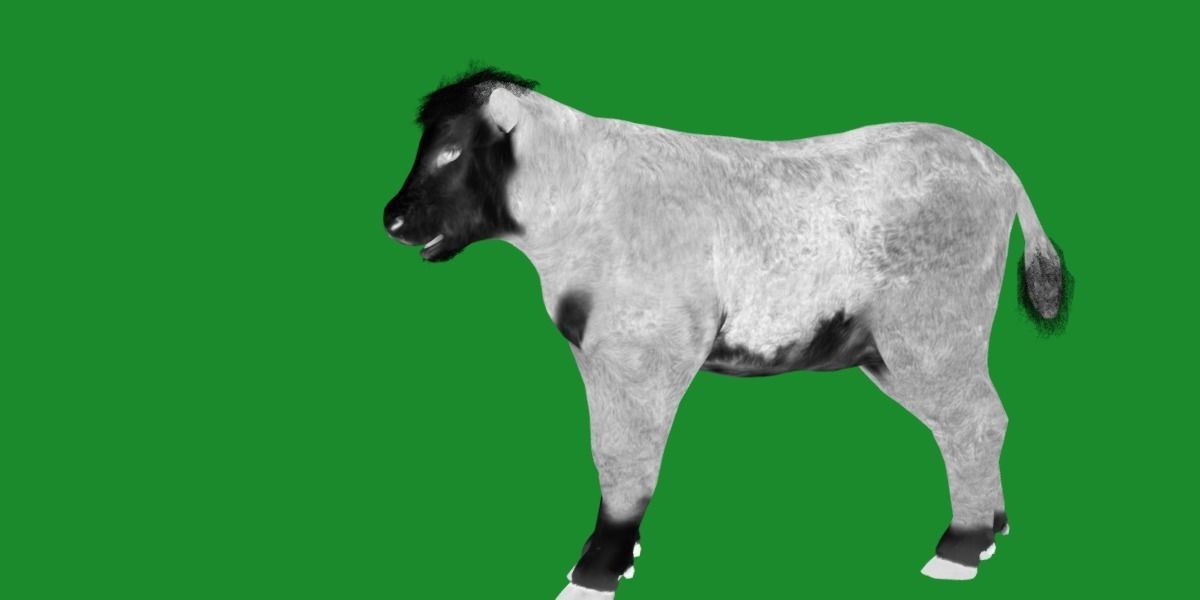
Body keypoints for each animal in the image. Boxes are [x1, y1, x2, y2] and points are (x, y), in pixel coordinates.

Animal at [382, 67, 1072, 598]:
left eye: (451, 151)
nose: (392, 219)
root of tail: (996, 163)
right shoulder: (598, 355)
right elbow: (606, 452)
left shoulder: (645, 354)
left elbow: (625, 460)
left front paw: (595, 572)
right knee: (980, 420)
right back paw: (992, 529)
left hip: (931, 332)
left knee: (975, 421)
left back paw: (959, 550)